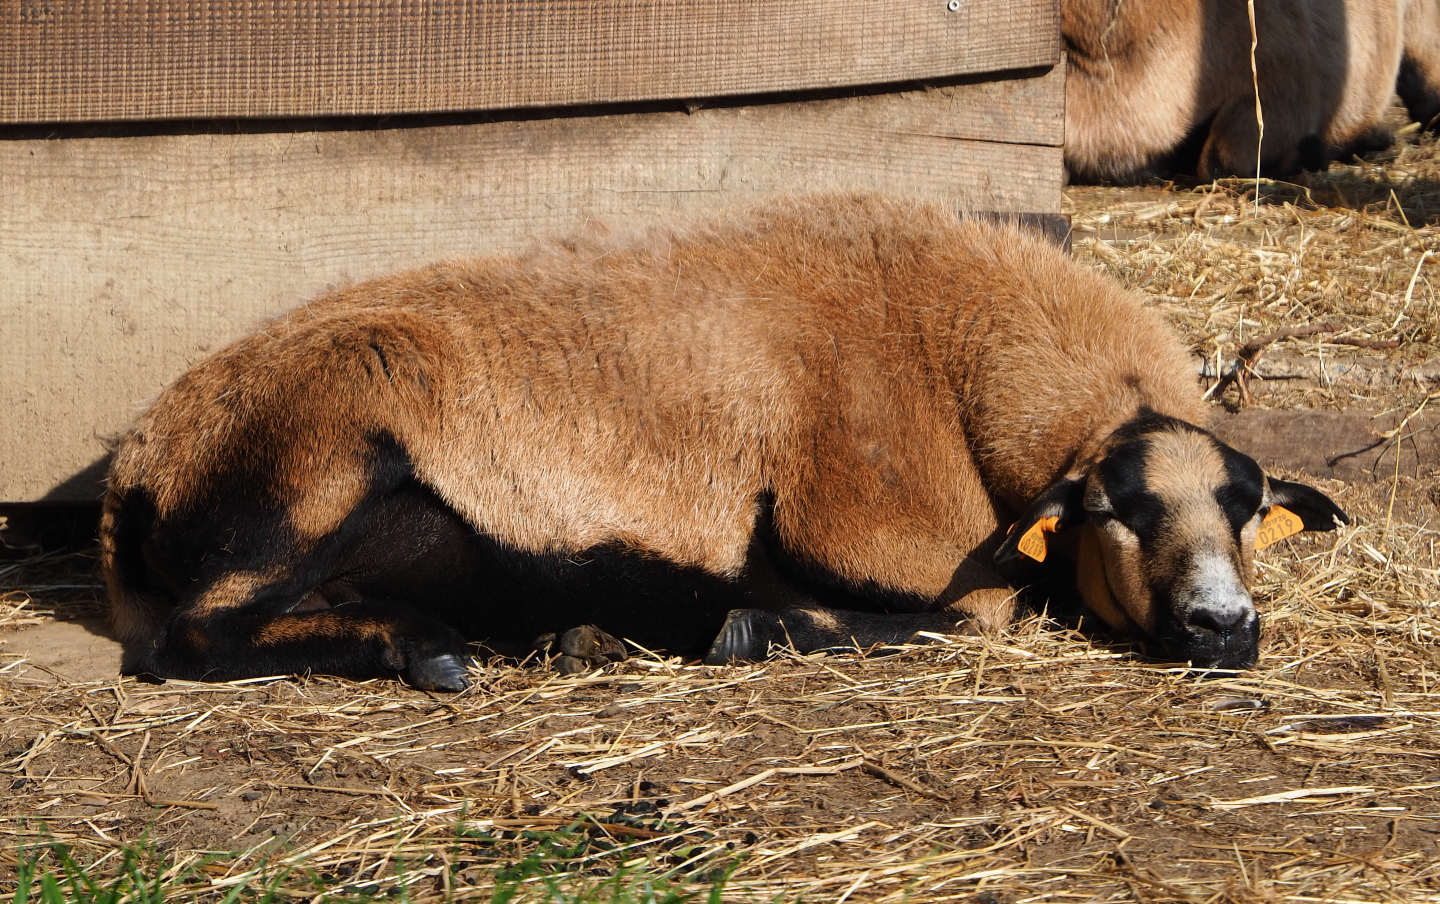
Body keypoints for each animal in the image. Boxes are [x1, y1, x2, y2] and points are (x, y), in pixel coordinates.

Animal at [100, 194, 1349, 691]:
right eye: (1111, 508)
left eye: (1248, 509)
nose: (1223, 629)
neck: (954, 360)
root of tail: (139, 462)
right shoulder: (880, 534)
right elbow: (977, 611)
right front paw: (749, 625)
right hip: (313, 470)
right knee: (187, 640)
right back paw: (429, 648)